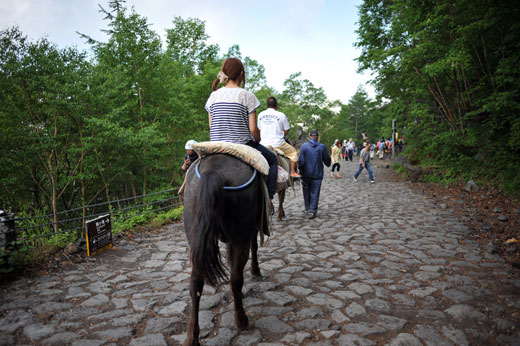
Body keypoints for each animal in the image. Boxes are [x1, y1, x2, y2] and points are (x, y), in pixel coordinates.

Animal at [183, 155, 264, 346]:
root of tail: (213, 171)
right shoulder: (249, 230)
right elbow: (253, 247)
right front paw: (256, 271)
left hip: (194, 239)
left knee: (195, 283)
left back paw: (192, 338)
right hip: (241, 236)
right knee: (236, 278)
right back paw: (242, 321)